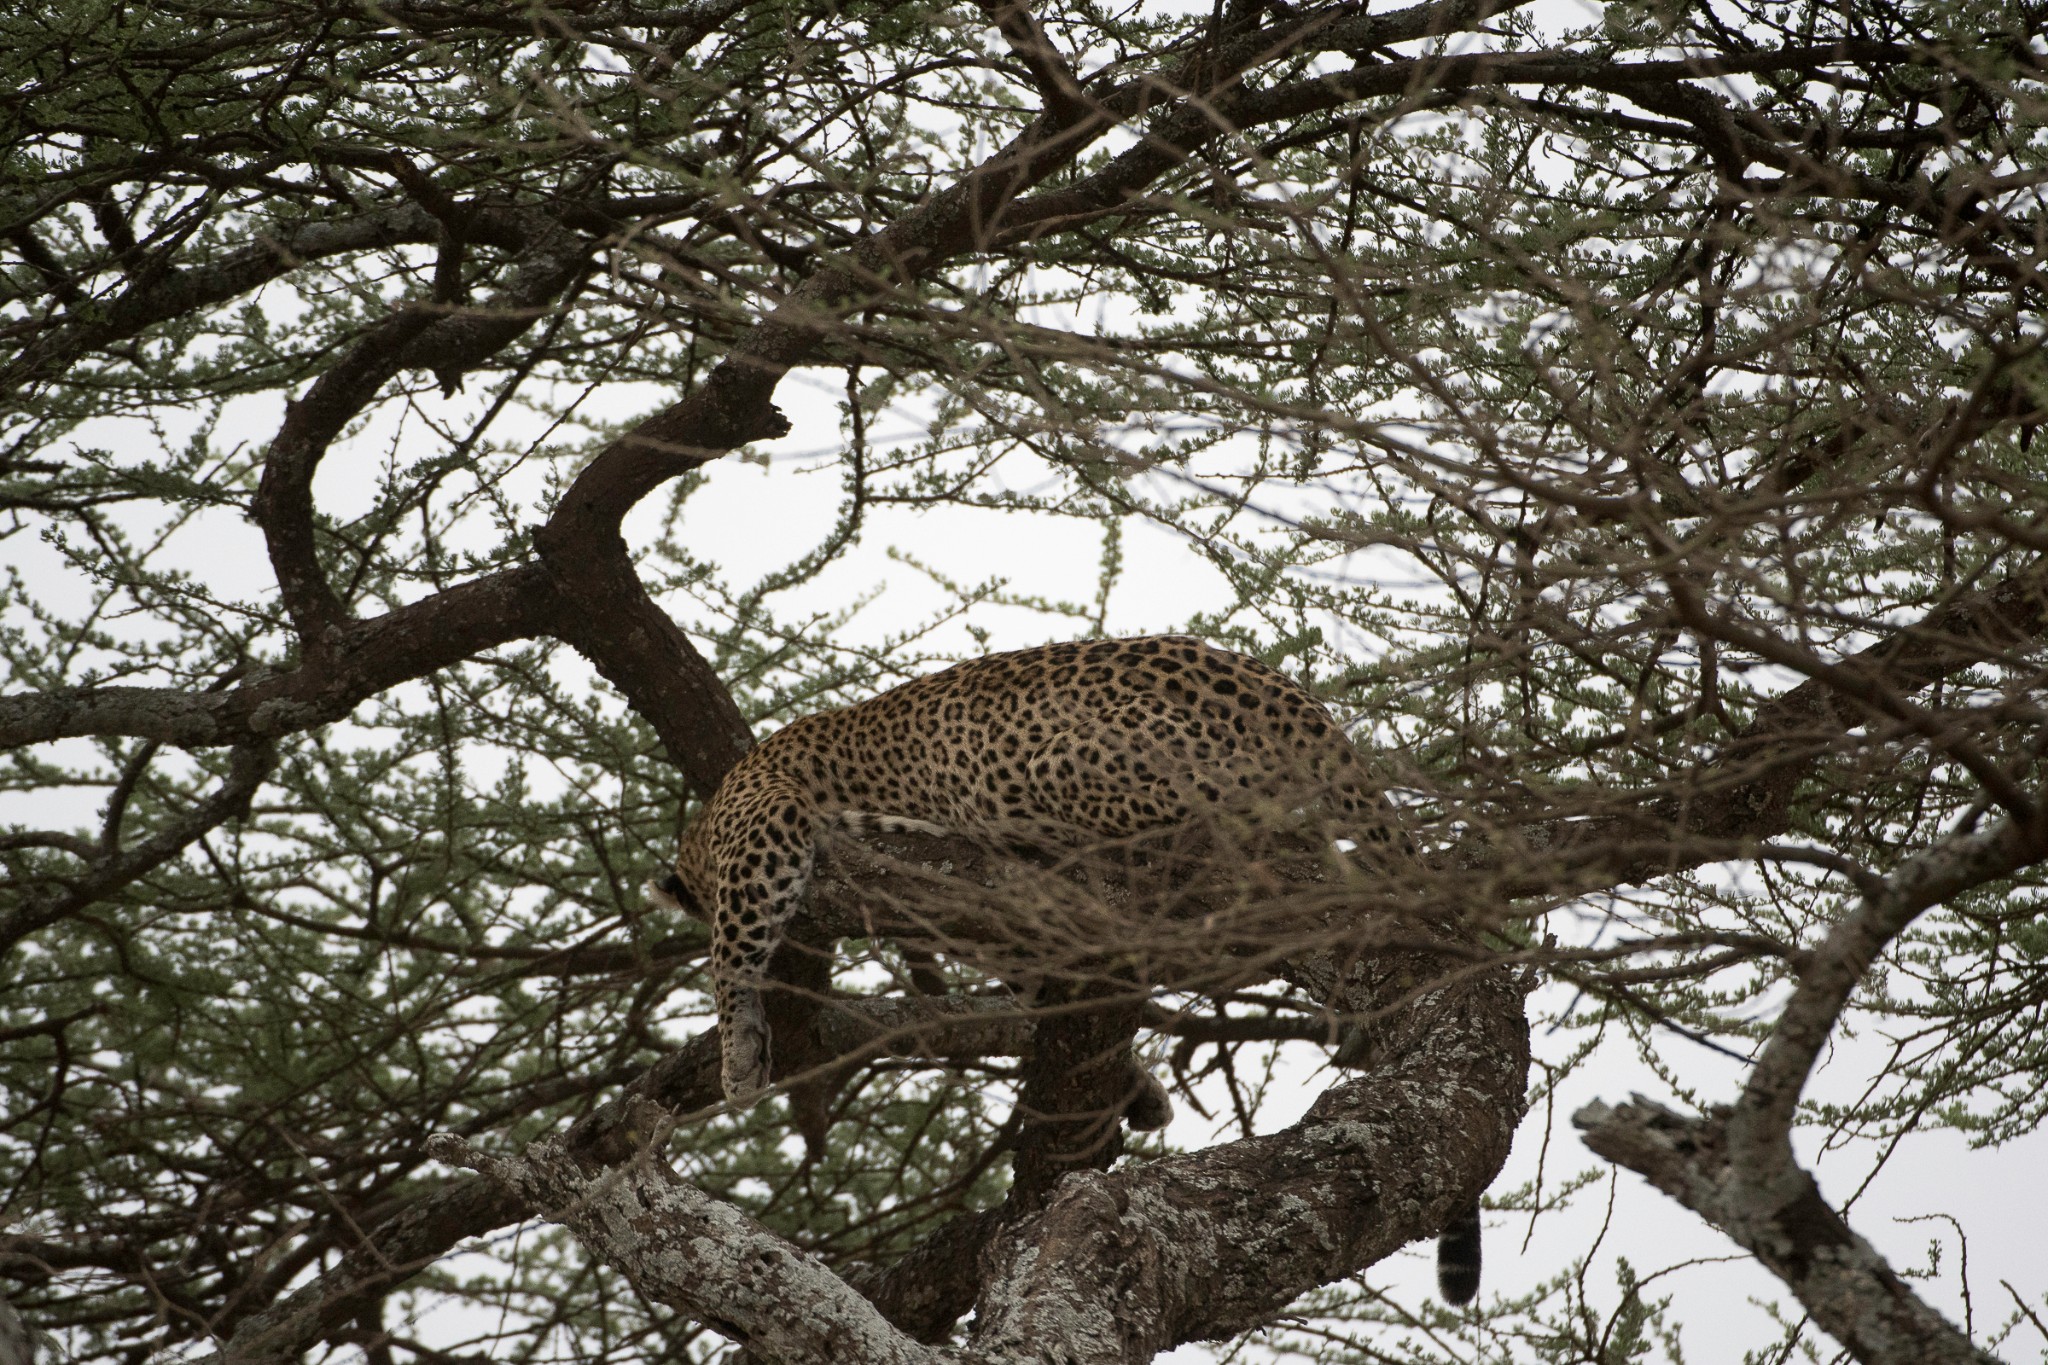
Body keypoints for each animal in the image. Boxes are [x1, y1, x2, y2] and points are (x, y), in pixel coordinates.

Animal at [655, 634, 1490, 1309]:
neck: (705, 829)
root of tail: (1290, 697)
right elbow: (1036, 987)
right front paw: (1138, 1089)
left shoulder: (762, 829)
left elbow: (729, 951)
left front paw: (738, 1056)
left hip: (1053, 762)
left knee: (1207, 819)